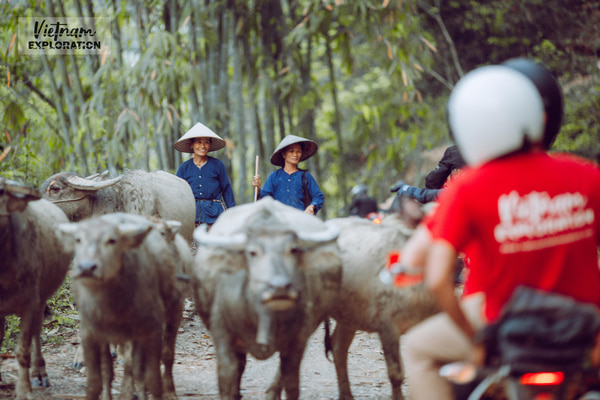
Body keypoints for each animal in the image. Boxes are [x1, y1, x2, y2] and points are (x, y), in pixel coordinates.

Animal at [0, 177, 72, 400]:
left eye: (1, 193)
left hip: (41, 300)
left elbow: (23, 349)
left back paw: (39, 373)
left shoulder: (31, 303)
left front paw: (23, 390)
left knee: (37, 333)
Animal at [192, 198, 342, 400]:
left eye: (293, 249)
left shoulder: (298, 338)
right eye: (252, 252)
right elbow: (228, 375)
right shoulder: (223, 334)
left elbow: (291, 381)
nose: (280, 287)